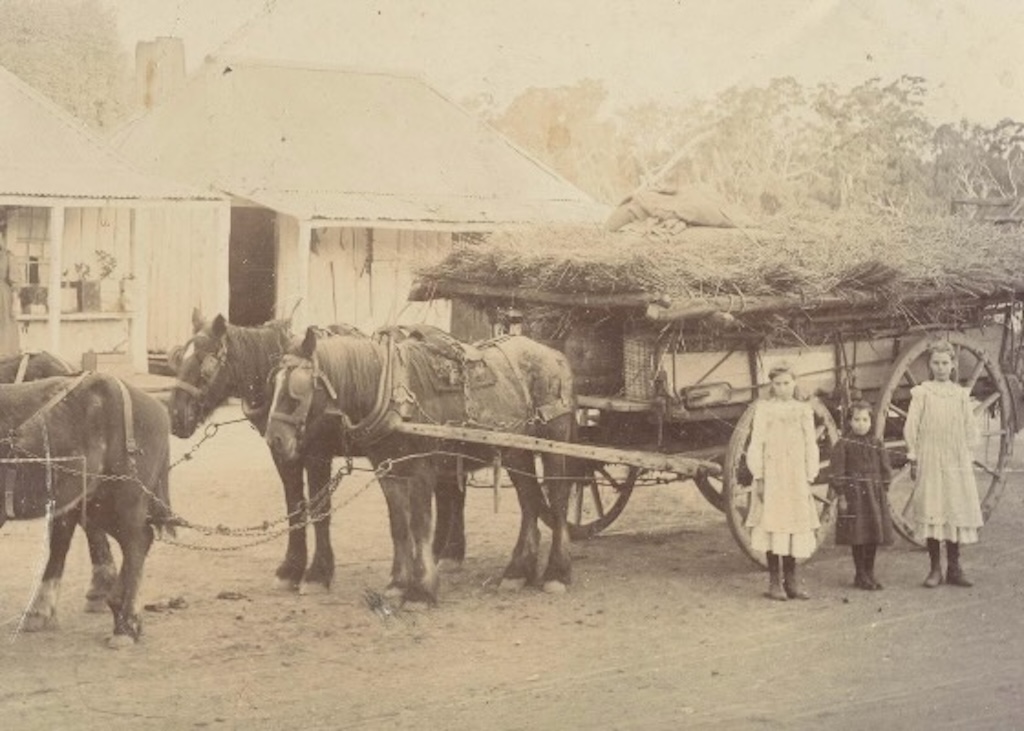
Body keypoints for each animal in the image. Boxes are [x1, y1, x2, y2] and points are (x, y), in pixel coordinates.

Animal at [262, 325, 577, 602]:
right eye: (273, 384)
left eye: (295, 390)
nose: (274, 439)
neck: (390, 392)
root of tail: (555, 355)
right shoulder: (389, 471)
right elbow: (400, 526)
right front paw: (398, 584)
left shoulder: (421, 469)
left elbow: (420, 524)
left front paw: (422, 590)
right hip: (517, 451)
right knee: (530, 502)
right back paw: (517, 572)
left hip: (554, 441)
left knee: (558, 501)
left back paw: (556, 573)